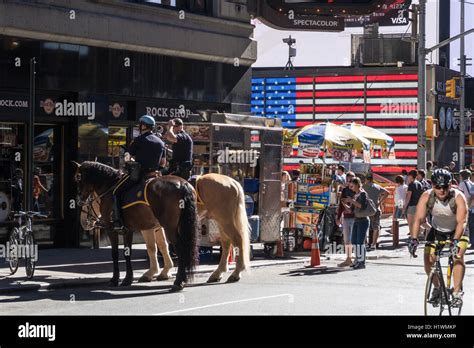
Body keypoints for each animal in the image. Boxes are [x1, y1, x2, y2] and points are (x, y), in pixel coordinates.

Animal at [72, 162, 198, 292]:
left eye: (77, 178)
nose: (78, 200)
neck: (109, 185)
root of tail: (183, 184)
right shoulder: (128, 230)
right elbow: (128, 252)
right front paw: (128, 278)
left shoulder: (111, 229)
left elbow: (115, 253)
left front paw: (114, 279)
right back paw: (182, 279)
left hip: (170, 227)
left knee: (181, 248)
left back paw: (178, 281)